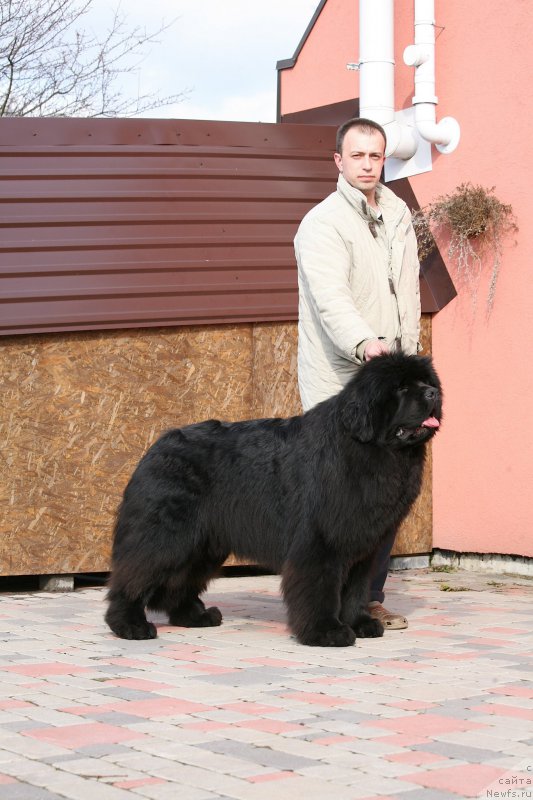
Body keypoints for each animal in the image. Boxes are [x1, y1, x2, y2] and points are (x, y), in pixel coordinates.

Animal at [105, 354, 440, 648]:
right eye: (400, 387)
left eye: (426, 381)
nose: (434, 392)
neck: (369, 449)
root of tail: (156, 446)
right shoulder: (320, 541)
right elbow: (320, 588)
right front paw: (326, 632)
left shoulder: (362, 545)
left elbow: (355, 591)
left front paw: (359, 623)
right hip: (166, 536)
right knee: (135, 574)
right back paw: (129, 625)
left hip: (203, 544)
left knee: (179, 582)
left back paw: (195, 616)